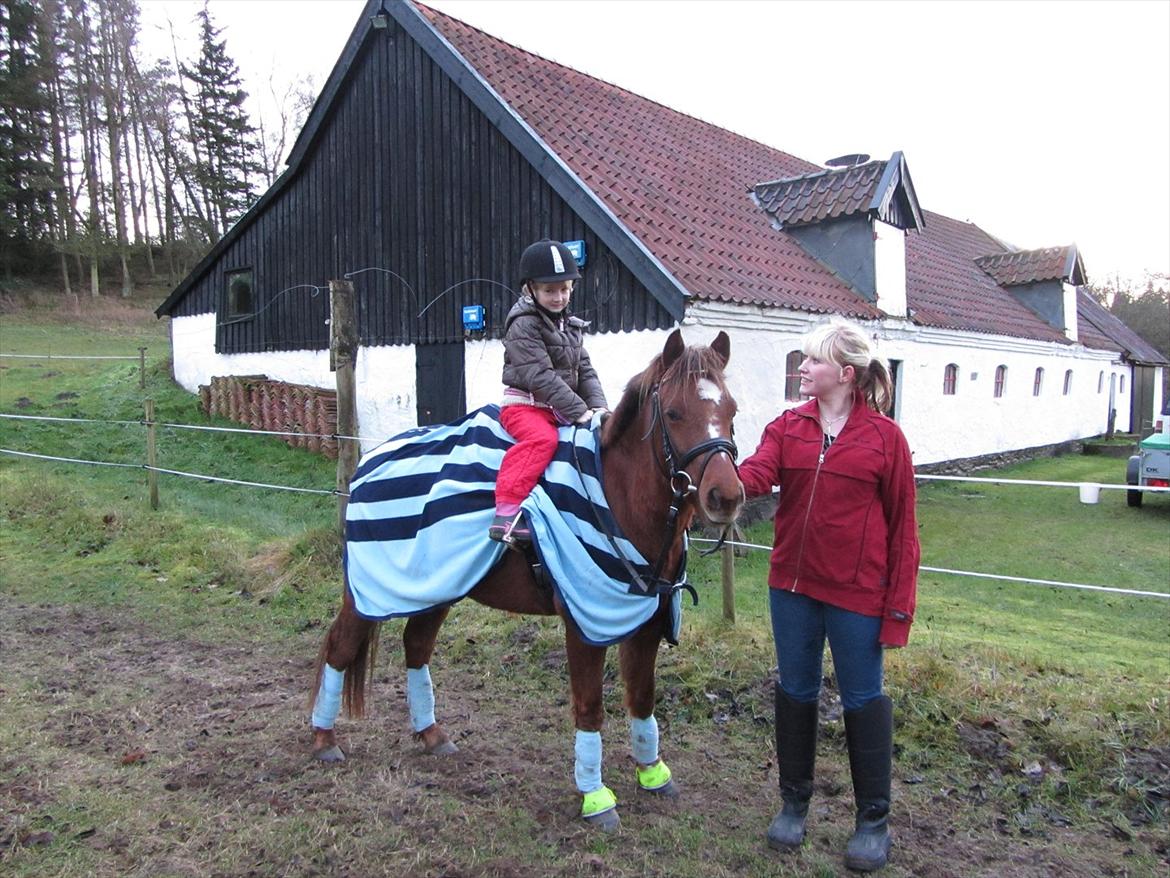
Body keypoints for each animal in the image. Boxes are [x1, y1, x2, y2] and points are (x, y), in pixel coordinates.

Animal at [311, 330, 744, 833]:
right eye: (673, 413)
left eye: (731, 411)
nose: (726, 497)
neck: (616, 496)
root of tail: (370, 460)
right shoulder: (583, 626)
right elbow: (589, 708)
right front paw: (595, 797)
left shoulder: (646, 624)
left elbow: (642, 698)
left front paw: (653, 773)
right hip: (367, 593)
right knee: (340, 648)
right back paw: (324, 739)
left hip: (437, 586)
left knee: (416, 647)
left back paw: (432, 735)